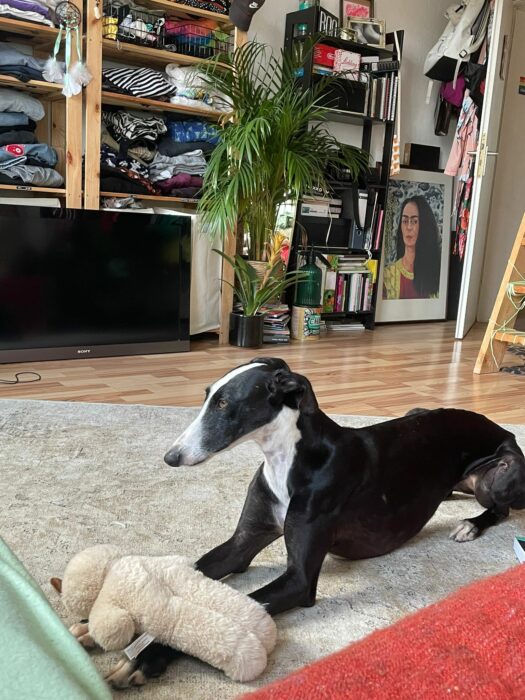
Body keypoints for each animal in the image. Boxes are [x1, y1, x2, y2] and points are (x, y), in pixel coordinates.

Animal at [107, 357, 525, 687]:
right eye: (208, 395)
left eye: (225, 403)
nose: (171, 457)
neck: (289, 459)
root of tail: (502, 428)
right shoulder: (243, 542)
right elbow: (189, 573)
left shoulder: (299, 580)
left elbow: (242, 609)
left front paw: (148, 657)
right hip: (417, 413)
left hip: (503, 467)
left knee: (502, 509)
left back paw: (470, 524)